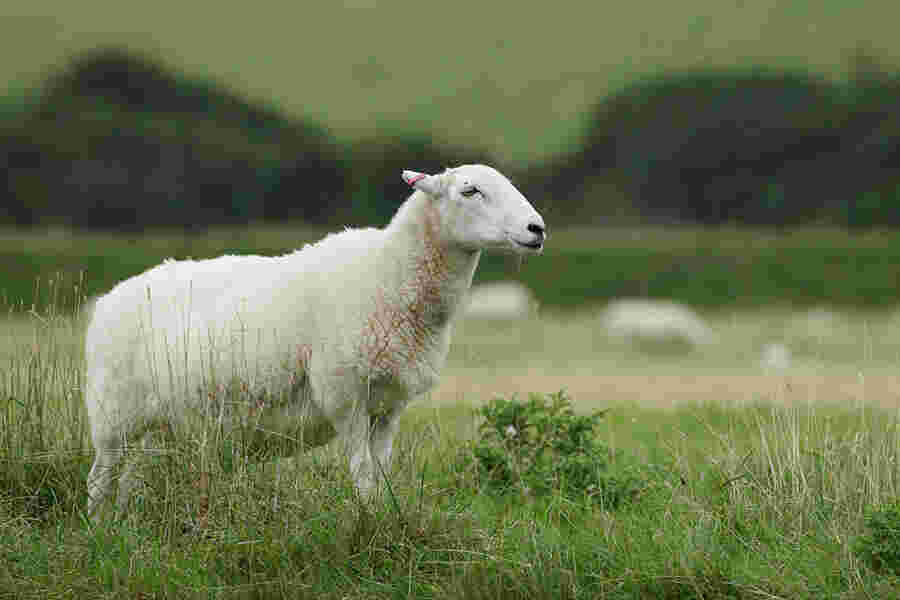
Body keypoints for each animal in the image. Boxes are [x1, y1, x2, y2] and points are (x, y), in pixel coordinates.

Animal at [84, 164, 546, 517]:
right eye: (470, 189)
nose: (537, 228)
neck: (388, 274)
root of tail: (107, 299)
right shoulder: (345, 395)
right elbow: (362, 472)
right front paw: (368, 524)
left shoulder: (389, 404)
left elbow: (382, 472)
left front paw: (385, 516)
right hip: (112, 415)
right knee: (99, 479)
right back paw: (98, 529)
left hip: (156, 426)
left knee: (130, 479)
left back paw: (125, 526)